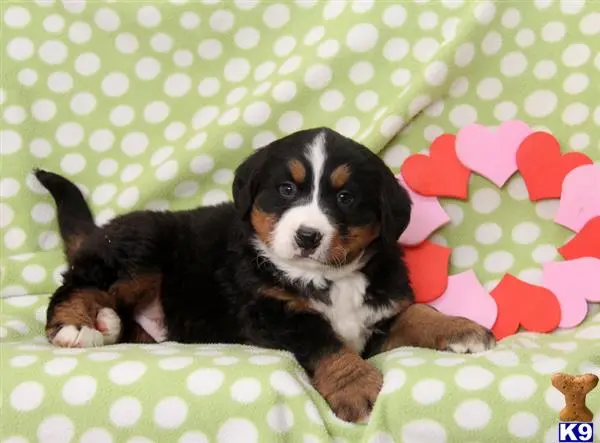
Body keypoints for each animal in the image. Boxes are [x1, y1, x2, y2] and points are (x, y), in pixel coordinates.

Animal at [36, 126, 492, 422]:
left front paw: (462, 328)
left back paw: (106, 324)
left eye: (345, 197)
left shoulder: (381, 310)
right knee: (76, 286)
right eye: (286, 190)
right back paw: (76, 326)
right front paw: (357, 386)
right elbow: (323, 341)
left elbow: (420, 313)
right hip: (141, 250)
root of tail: (103, 230)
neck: (330, 278)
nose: (308, 235)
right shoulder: (272, 311)